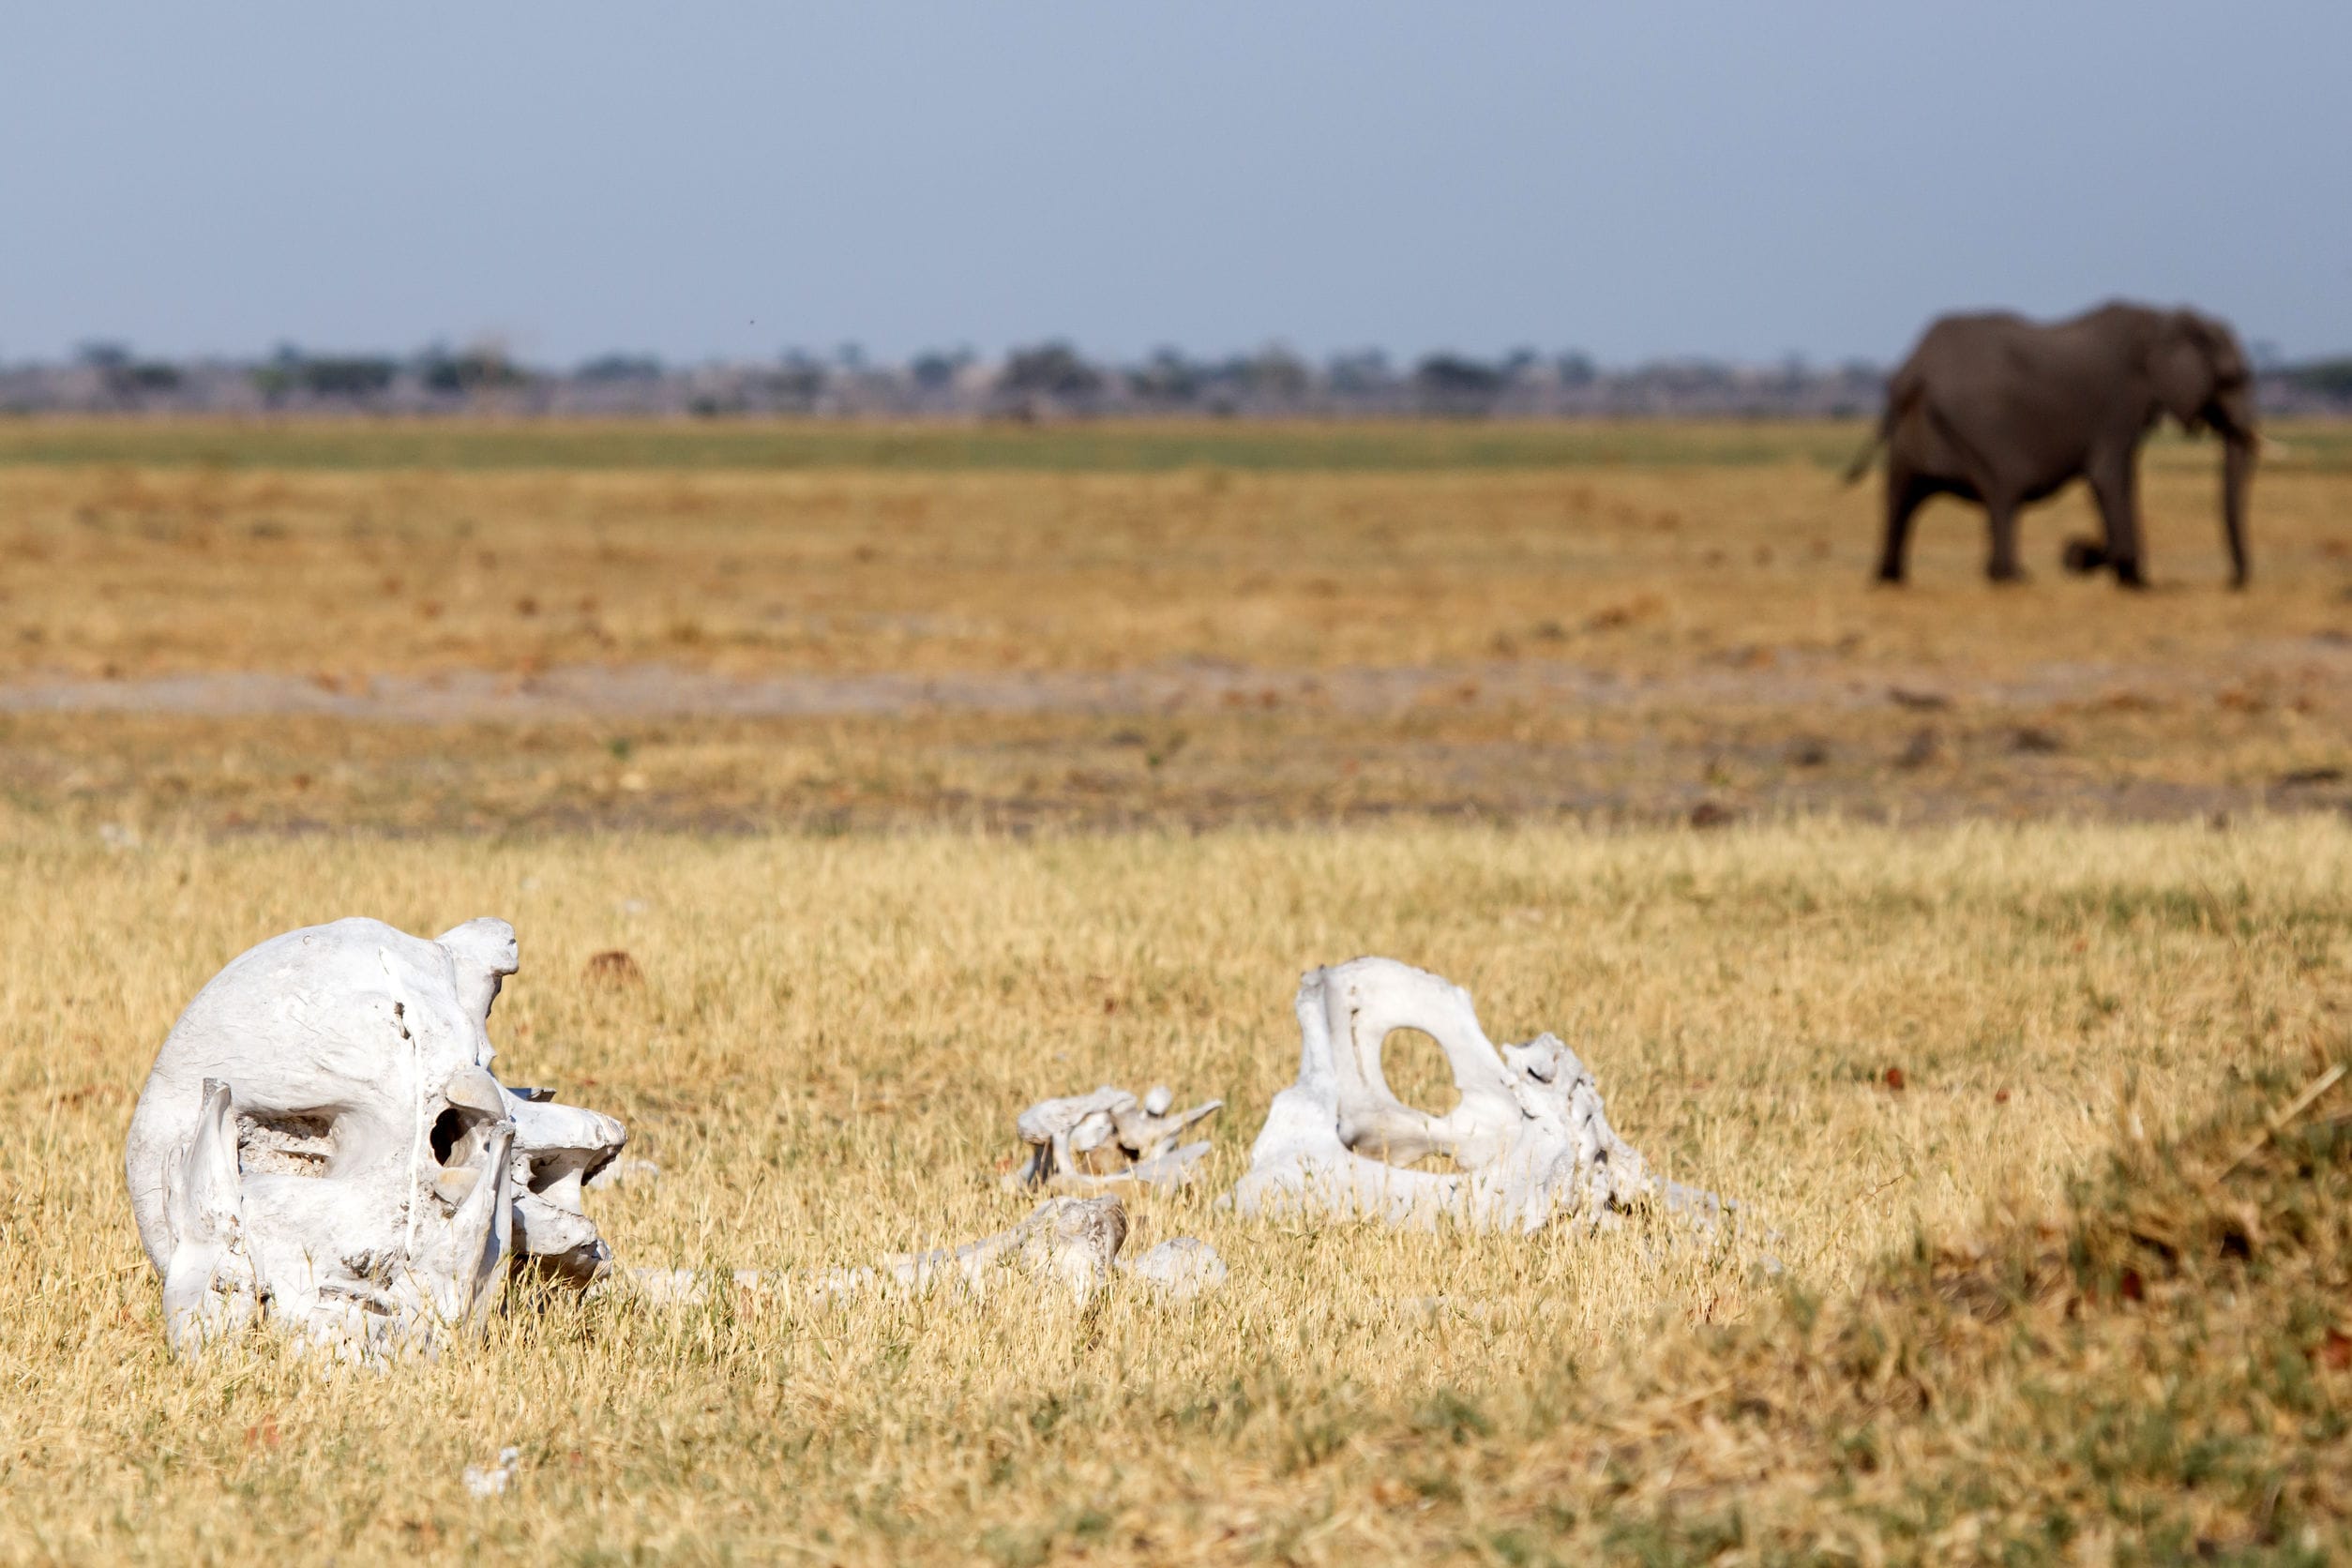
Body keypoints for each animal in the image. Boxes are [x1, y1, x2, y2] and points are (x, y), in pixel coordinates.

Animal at [1853, 303, 2257, 587]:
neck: (2161, 320)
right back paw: (2011, 576)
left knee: (1900, 499)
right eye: (2230, 378)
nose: (2232, 582)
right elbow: (2111, 477)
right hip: (1982, 427)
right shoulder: (2119, 405)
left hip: (1913, 439)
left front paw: (2111, 565)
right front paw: (2124, 573)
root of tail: (1917, 365)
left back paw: (1890, 578)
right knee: (2002, 492)